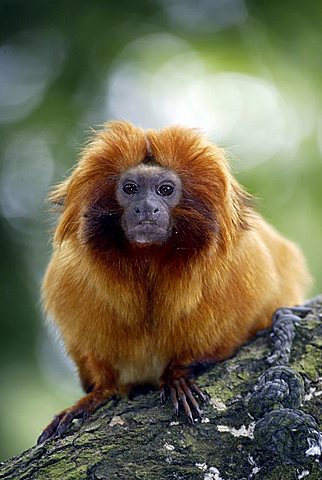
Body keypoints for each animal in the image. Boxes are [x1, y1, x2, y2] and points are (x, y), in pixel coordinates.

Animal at [36, 120, 310, 442]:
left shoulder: (243, 269)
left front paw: (177, 374)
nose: (146, 207)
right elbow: (98, 365)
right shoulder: (69, 280)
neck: (149, 262)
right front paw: (98, 393)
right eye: (130, 189)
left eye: (165, 190)